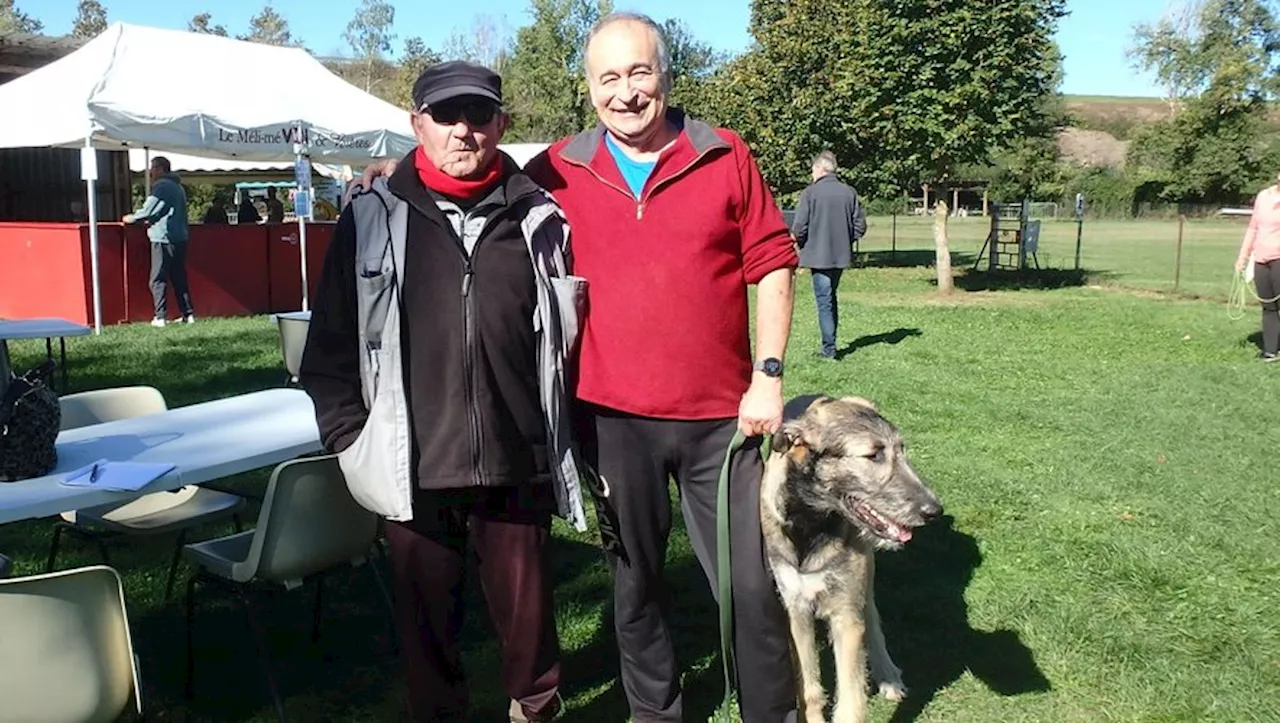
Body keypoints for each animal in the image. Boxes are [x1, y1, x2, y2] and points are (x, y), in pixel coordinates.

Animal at [757, 394, 942, 721]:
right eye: (873, 455)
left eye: (902, 451)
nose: (934, 510)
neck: (811, 525)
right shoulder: (795, 609)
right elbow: (809, 689)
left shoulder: (846, 613)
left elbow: (851, 701)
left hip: (864, 573)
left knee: (872, 616)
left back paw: (888, 675)